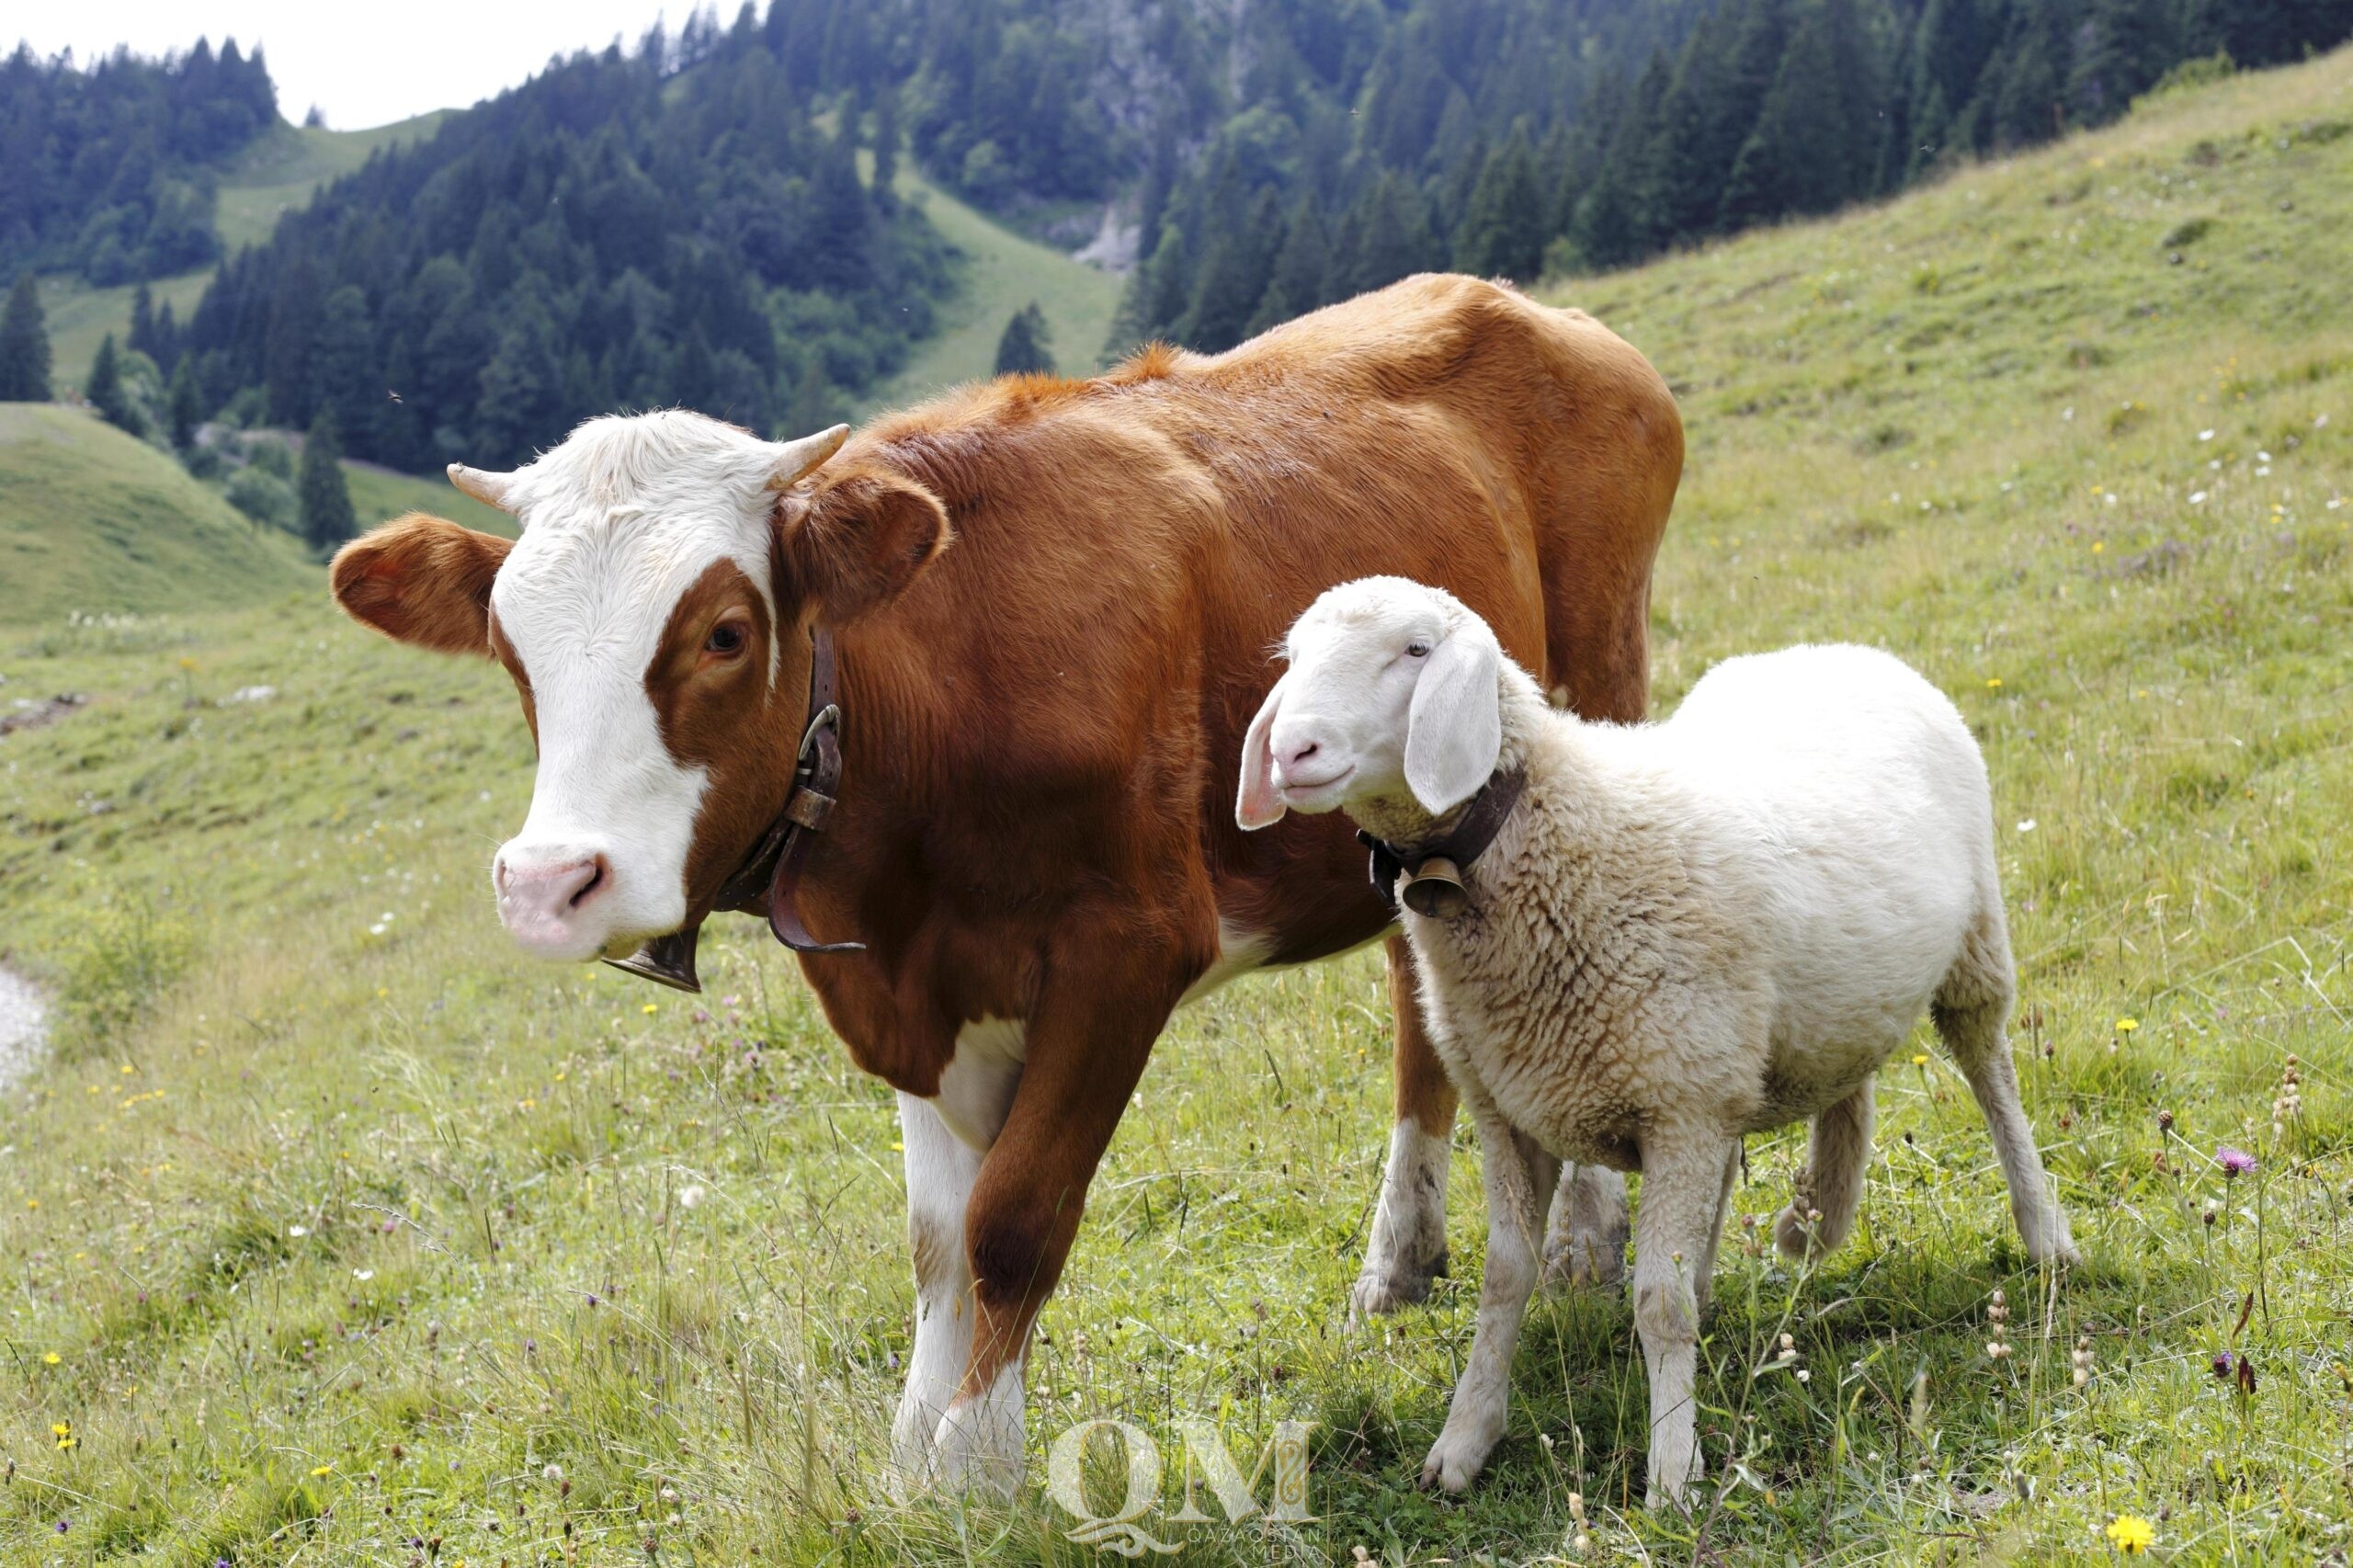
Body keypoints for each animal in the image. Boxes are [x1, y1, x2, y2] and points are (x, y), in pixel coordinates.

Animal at [336, 271, 1694, 1487]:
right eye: (510, 647)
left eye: (724, 632)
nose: (548, 881)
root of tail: (1523, 301)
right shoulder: (911, 988)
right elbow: (937, 1240)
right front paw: (914, 1462)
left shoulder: (1127, 949)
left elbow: (1012, 1220)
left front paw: (979, 1466)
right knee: (1423, 1010)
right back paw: (1399, 1258)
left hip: (1601, 674)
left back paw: (1582, 1233)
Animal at [1233, 574, 2080, 1506]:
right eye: (1294, 657)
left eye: (1415, 650)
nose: (1293, 751)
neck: (1555, 839)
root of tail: (1837, 649)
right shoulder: (1513, 1111)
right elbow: (1506, 1280)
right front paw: (1464, 1442)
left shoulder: (1680, 1105)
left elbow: (1658, 1304)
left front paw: (1673, 1470)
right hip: (1798, 1008)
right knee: (1842, 1086)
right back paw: (1813, 1217)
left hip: (1973, 949)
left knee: (1992, 1078)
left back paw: (2045, 1233)